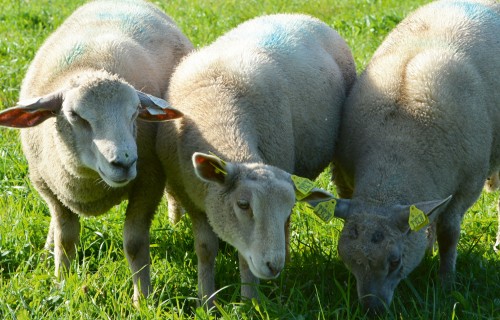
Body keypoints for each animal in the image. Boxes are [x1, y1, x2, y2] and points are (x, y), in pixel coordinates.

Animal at [0, 0, 193, 304]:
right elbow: (66, 238)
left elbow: (134, 243)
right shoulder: (48, 186)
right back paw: (47, 249)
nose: (124, 162)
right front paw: (62, 284)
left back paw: (175, 223)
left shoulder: (148, 182)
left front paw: (142, 300)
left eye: (135, 112)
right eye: (74, 115)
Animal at [156, 13, 356, 304]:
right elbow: (205, 249)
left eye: (289, 204)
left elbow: (244, 257)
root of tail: (298, 15)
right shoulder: (192, 197)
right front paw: (207, 299)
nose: (273, 266)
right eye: (242, 204)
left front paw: (249, 301)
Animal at [332, 0, 500, 316]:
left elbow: (449, 234)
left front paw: (446, 284)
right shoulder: (347, 184)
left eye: (395, 261)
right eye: (347, 258)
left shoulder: (465, 186)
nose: (372, 311)